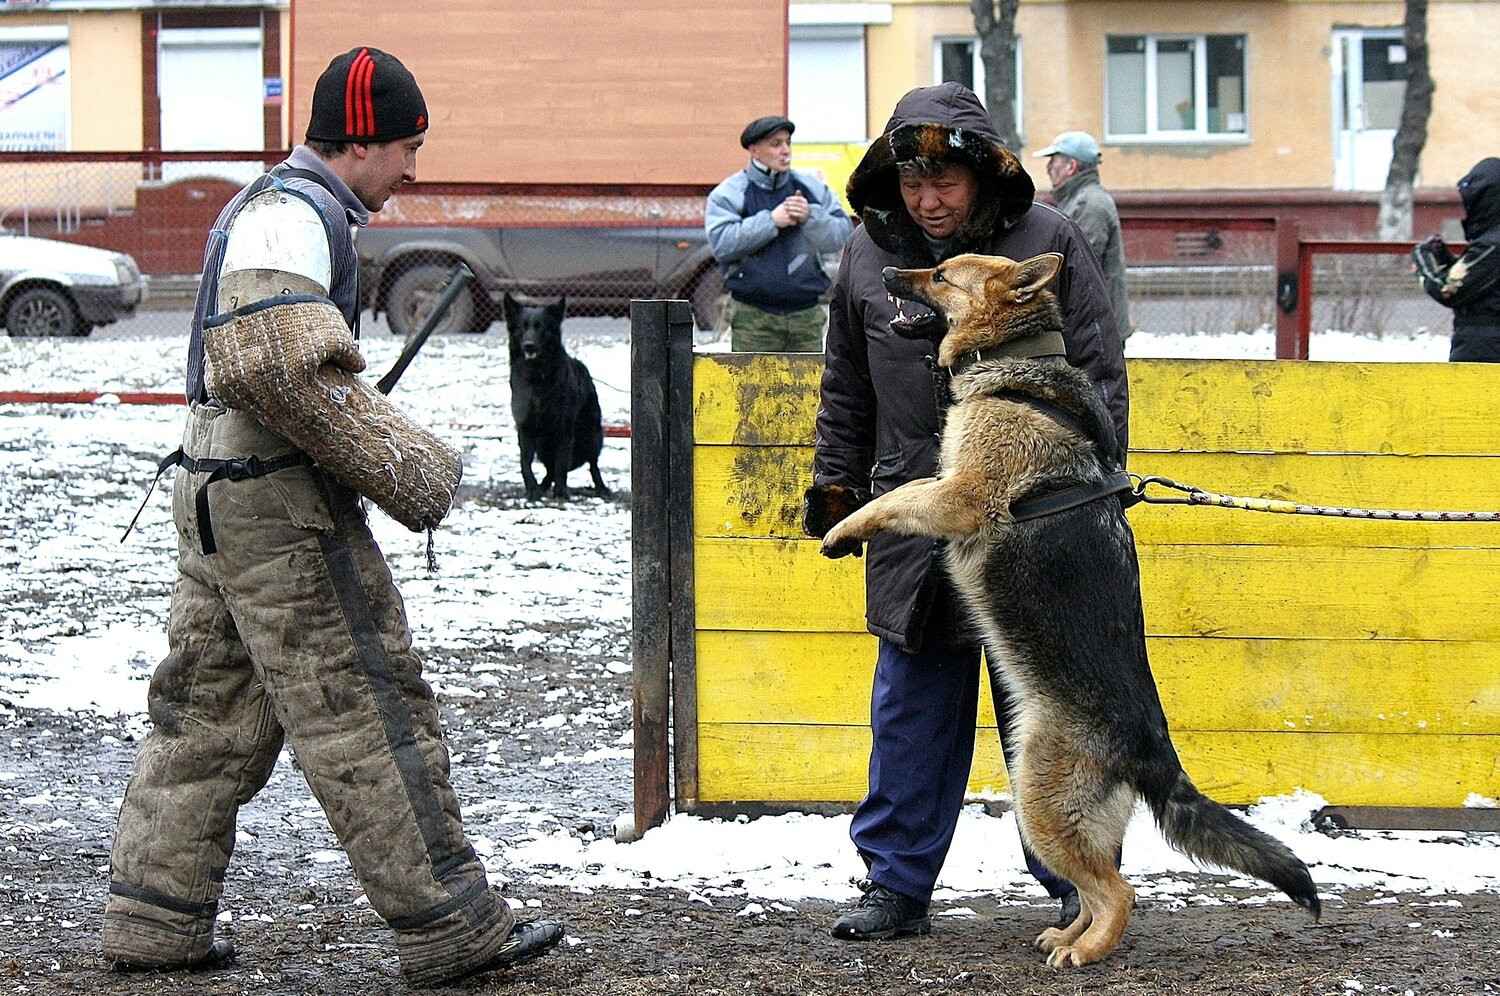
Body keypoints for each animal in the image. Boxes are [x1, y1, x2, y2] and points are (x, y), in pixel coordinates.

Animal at [504, 292, 609, 501]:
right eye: (522, 327)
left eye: (541, 328)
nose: (528, 345)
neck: (537, 378)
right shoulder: (525, 427)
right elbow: (525, 461)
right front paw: (532, 490)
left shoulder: (563, 428)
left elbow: (561, 463)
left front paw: (561, 492)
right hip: (543, 445)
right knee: (549, 468)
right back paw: (543, 485)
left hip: (591, 435)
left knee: (592, 463)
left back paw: (601, 488)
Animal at [822, 253, 1326, 966]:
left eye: (942, 274)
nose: (889, 270)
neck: (1014, 368)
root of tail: (1150, 748)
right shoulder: (948, 487)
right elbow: (906, 487)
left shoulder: (960, 497)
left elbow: (895, 499)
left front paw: (845, 528)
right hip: (1066, 809)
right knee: (1099, 883)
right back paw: (1068, 934)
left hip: (1037, 798)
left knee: (1120, 892)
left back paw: (1085, 952)